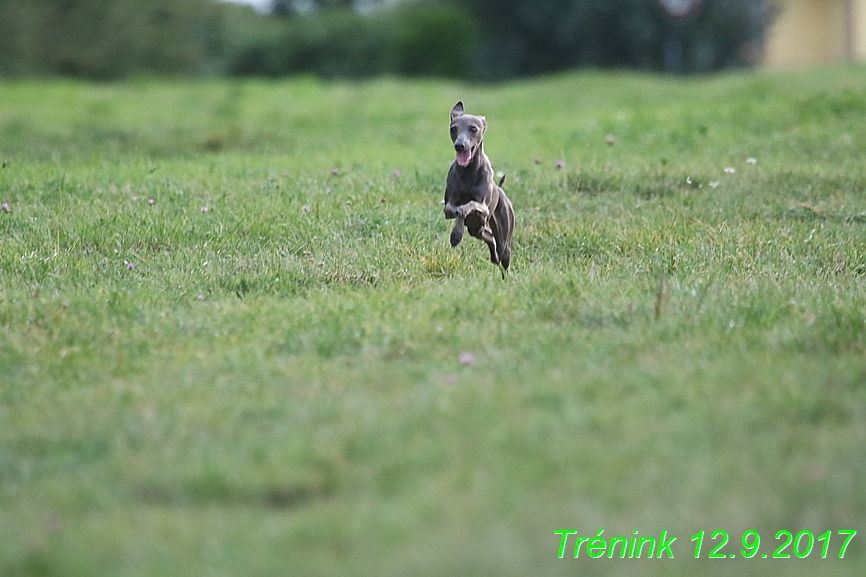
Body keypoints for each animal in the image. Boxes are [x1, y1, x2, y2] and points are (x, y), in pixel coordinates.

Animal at [442, 100, 510, 270]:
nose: (459, 145)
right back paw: (494, 258)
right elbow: (457, 209)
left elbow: (469, 205)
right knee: (490, 237)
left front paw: (457, 232)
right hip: (477, 230)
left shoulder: (483, 207)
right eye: (453, 129)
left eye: (473, 128)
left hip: (503, 238)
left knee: (503, 253)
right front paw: (456, 235)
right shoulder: (447, 208)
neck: (469, 170)